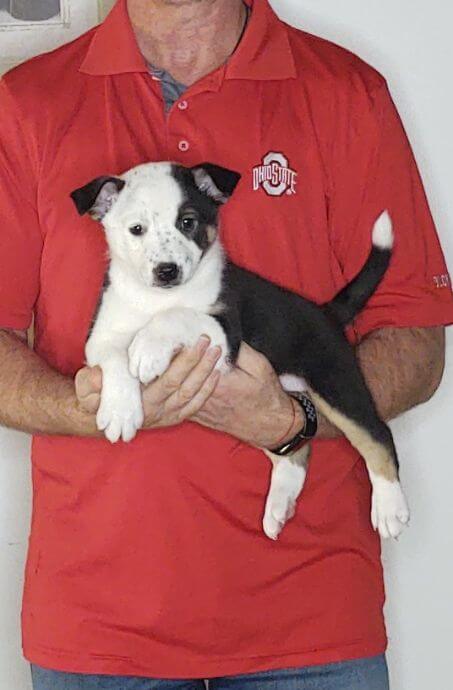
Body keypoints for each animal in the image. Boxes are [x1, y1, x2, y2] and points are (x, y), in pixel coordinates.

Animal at [70, 161, 410, 536]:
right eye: (136, 229)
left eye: (187, 221)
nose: (167, 271)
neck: (156, 299)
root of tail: (326, 312)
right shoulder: (102, 335)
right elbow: (114, 361)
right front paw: (120, 411)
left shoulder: (225, 333)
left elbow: (179, 315)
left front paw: (147, 348)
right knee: (295, 451)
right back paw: (279, 505)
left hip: (335, 381)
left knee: (376, 433)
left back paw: (390, 509)